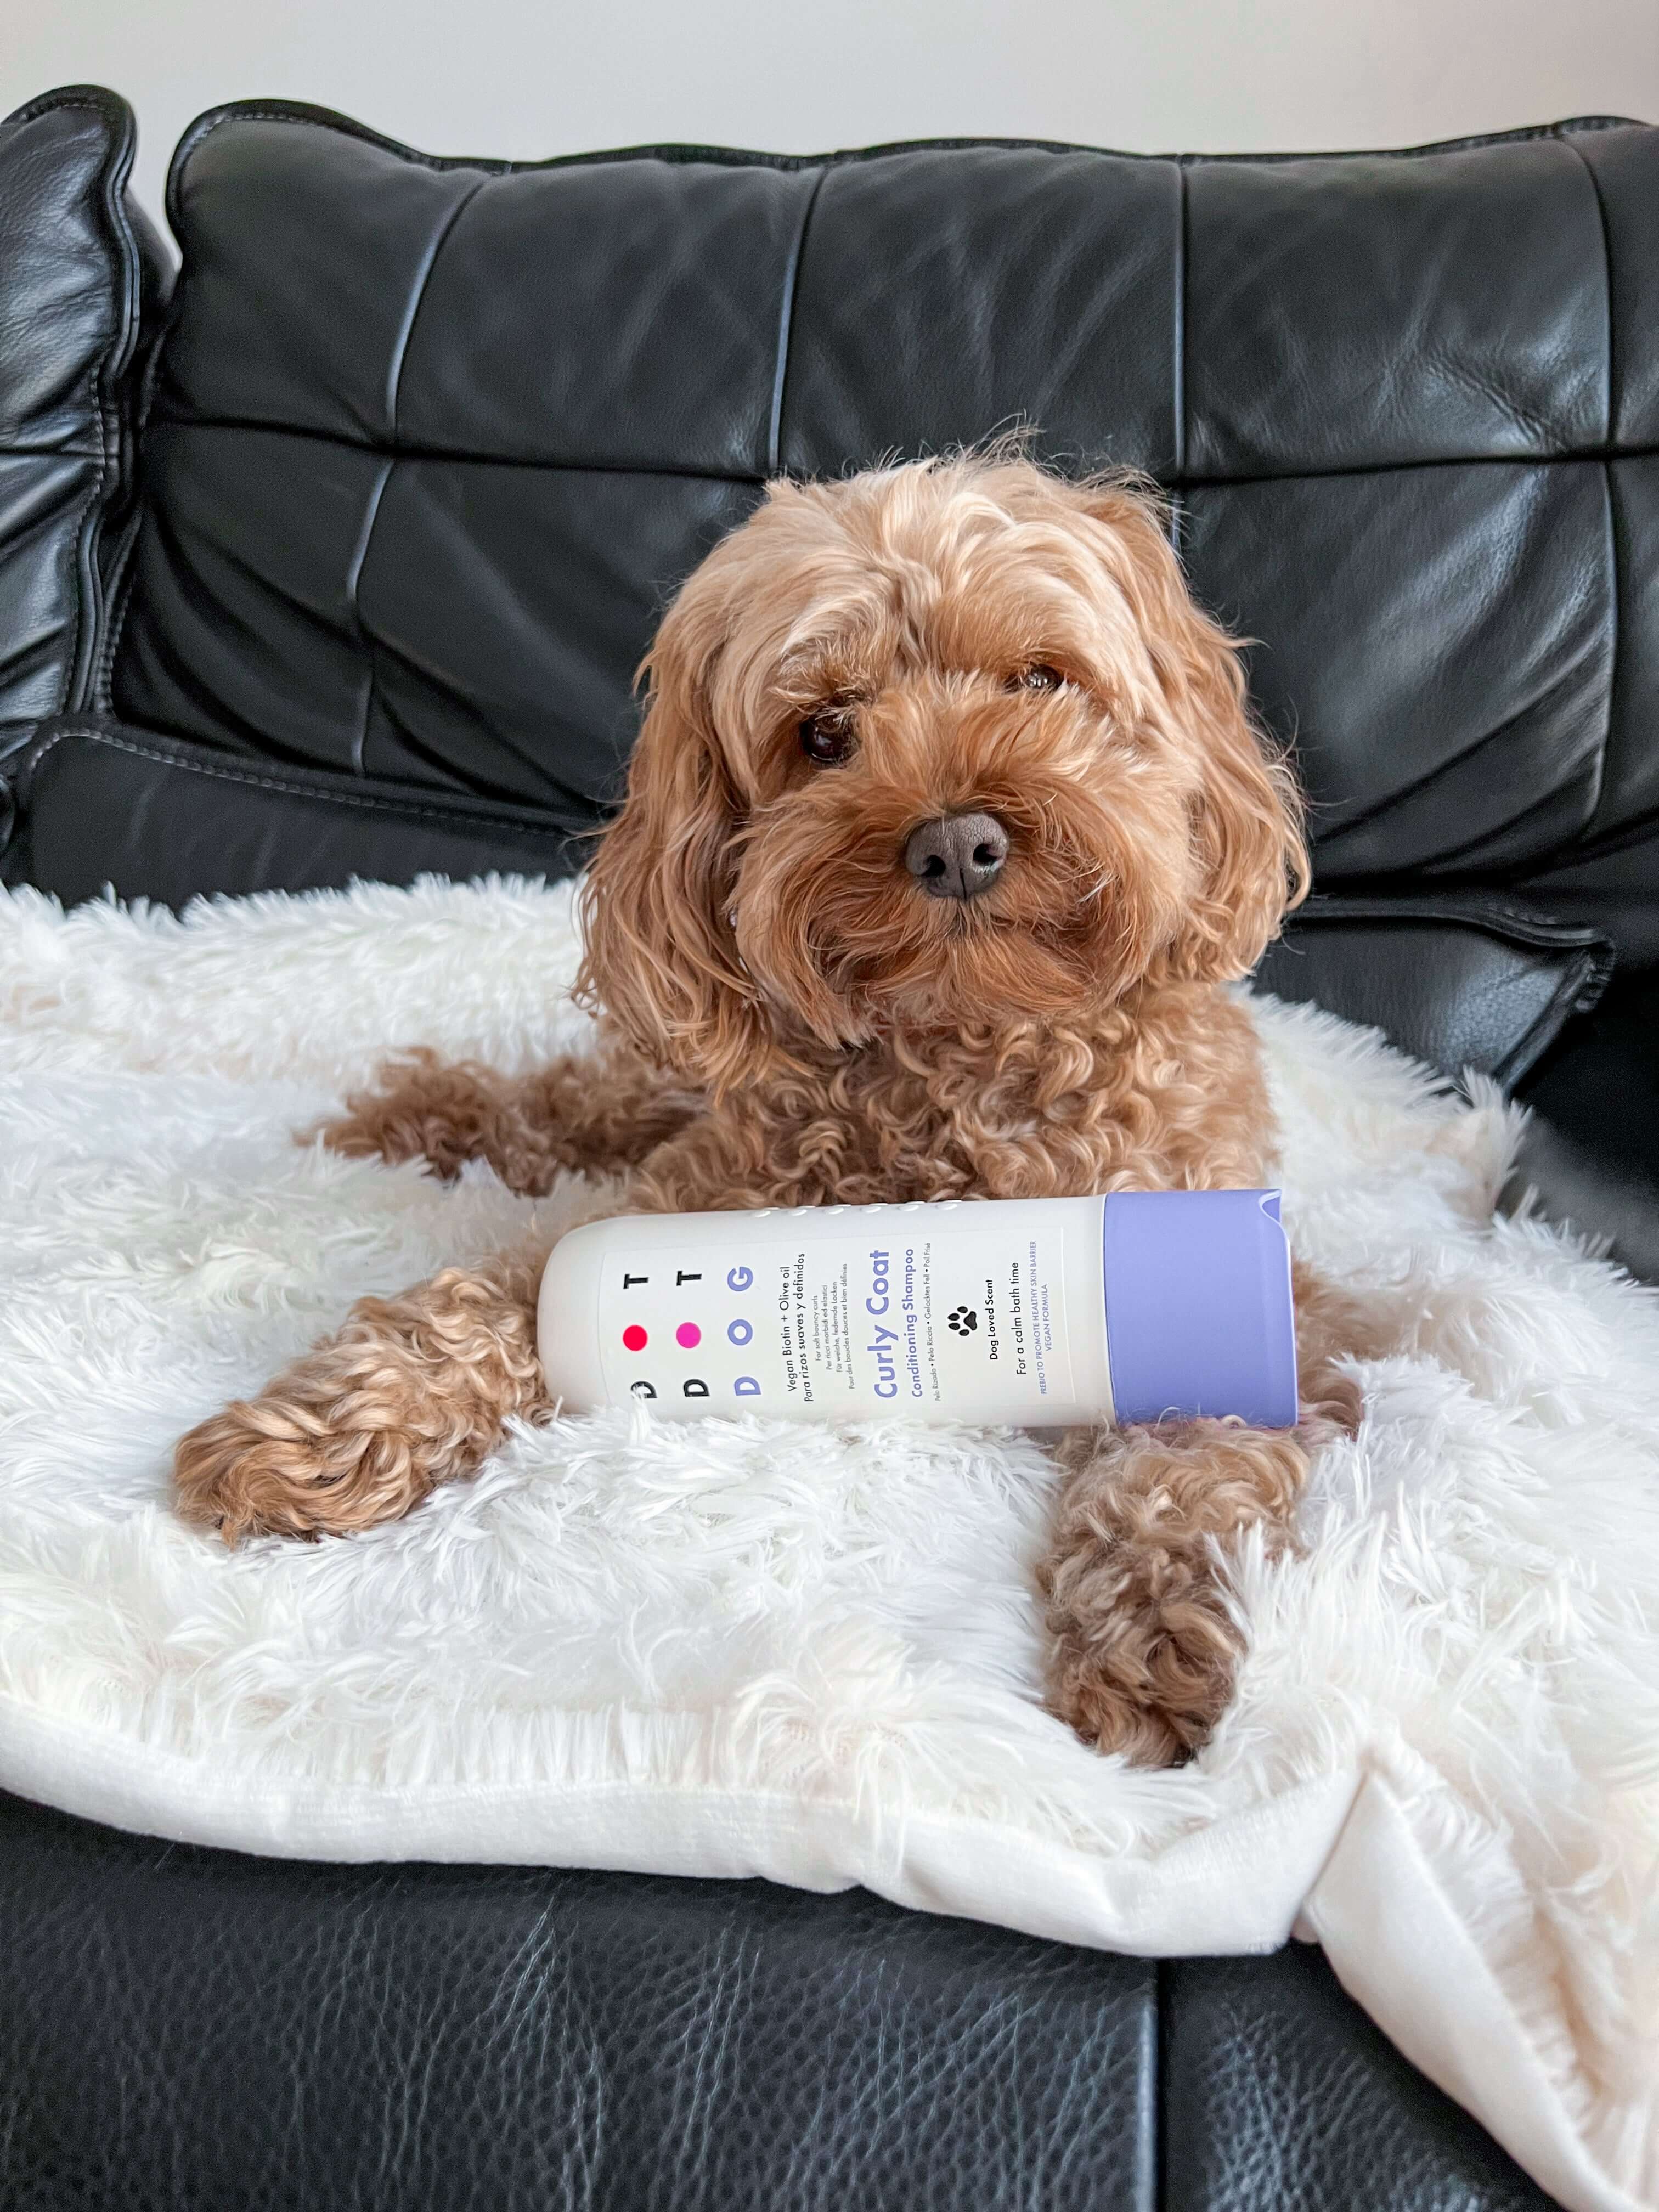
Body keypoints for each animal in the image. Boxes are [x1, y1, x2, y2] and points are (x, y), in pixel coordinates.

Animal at [179, 458, 1380, 1769]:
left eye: (1041, 680)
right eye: (824, 734)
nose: (957, 843)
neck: (961, 1056)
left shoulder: (1227, 1287)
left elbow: (1182, 1461)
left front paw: (1155, 1637)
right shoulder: (680, 1210)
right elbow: (470, 1308)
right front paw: (316, 1435)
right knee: (564, 1102)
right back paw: (404, 1115)